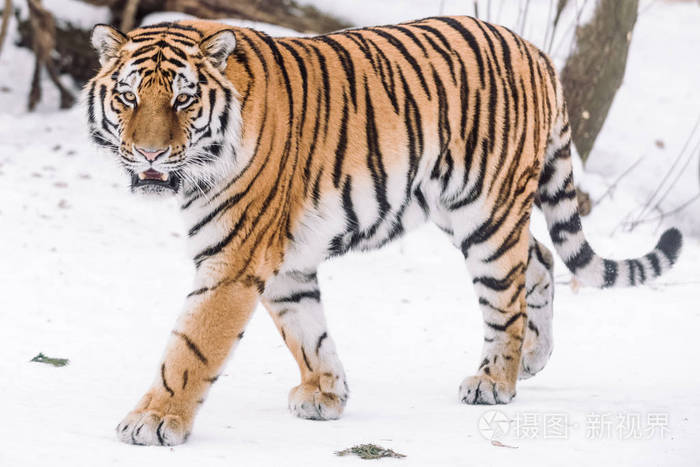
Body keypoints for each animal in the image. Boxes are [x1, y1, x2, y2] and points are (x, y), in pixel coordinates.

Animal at [85, 16, 682, 446]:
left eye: (183, 99)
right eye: (128, 97)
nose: (149, 153)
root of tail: (535, 51)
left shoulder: (234, 259)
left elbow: (191, 346)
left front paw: (154, 421)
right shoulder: (283, 258)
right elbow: (306, 329)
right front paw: (326, 393)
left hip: (485, 214)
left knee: (506, 295)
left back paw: (495, 381)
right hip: (464, 210)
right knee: (538, 256)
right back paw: (533, 359)